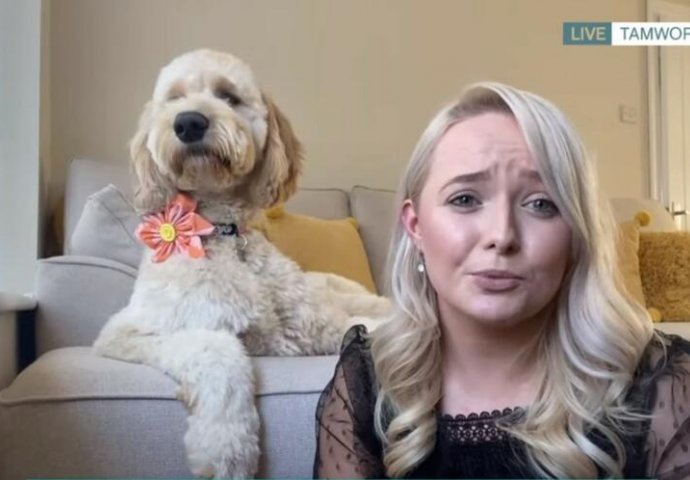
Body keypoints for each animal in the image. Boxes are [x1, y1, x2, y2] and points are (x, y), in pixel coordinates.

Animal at [93, 49, 390, 478]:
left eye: (228, 96)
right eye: (174, 98)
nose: (188, 122)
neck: (224, 234)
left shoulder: (321, 327)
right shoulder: (129, 332)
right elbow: (218, 353)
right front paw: (226, 451)